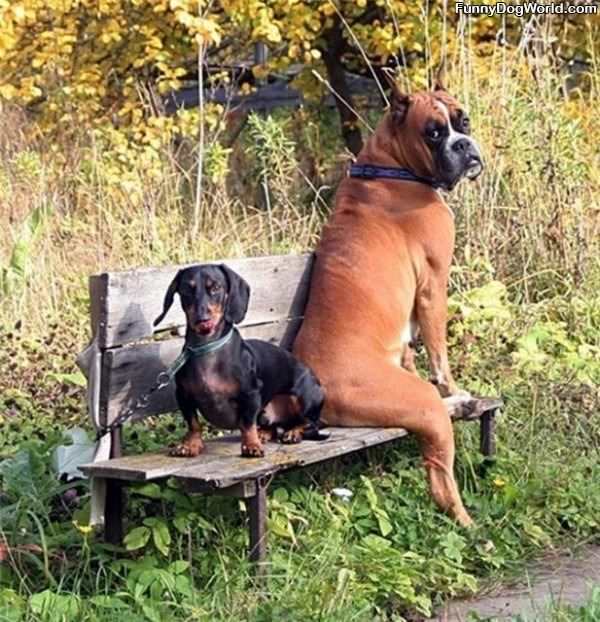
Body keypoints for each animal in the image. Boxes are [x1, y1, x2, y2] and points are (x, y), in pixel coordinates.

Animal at [292, 77, 486, 528]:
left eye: (463, 120)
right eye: (433, 133)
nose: (464, 145)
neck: (389, 164)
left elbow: (414, 352)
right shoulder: (433, 288)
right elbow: (439, 354)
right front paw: (453, 384)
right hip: (422, 410)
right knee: (439, 478)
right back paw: (469, 524)